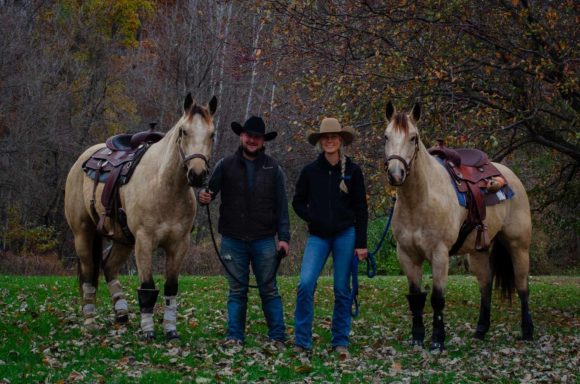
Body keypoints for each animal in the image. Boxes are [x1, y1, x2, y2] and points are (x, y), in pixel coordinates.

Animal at [64, 94, 218, 340]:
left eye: (212, 134)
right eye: (183, 131)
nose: (196, 174)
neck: (164, 186)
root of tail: (83, 159)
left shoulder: (179, 245)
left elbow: (171, 288)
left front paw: (170, 330)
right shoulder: (144, 241)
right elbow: (147, 287)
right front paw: (148, 331)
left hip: (123, 240)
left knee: (108, 266)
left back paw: (121, 313)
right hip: (83, 234)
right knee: (89, 273)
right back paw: (89, 321)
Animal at [382, 101, 532, 352]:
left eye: (414, 137)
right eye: (386, 136)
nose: (395, 174)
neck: (421, 200)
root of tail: (510, 177)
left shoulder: (440, 254)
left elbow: (437, 299)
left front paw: (437, 340)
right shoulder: (407, 255)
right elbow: (416, 298)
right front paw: (417, 338)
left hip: (518, 246)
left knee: (522, 287)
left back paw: (528, 331)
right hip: (478, 252)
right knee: (486, 286)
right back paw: (480, 331)